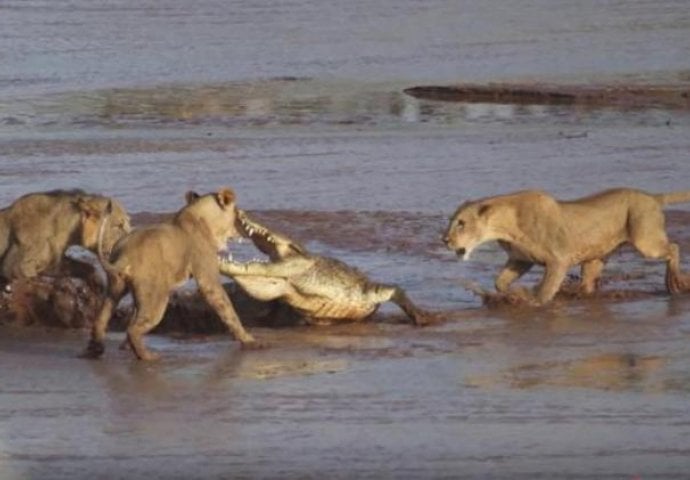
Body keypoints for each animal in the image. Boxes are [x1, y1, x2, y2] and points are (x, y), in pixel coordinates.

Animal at [80, 188, 258, 360]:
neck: (199, 217)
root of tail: (124, 256)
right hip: (156, 297)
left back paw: (95, 350)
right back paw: (148, 356)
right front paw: (249, 340)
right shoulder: (208, 279)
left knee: (101, 320)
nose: (244, 226)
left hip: (116, 289)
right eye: (237, 213)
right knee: (133, 329)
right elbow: (228, 310)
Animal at [444, 188, 688, 304]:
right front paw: (513, 295)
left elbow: (545, 290)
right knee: (588, 283)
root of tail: (652, 196)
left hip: (645, 241)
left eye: (461, 224)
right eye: (452, 221)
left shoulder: (558, 259)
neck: (504, 227)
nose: (444, 240)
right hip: (594, 260)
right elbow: (500, 282)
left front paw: (532, 301)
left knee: (674, 247)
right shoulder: (520, 259)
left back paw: (675, 283)